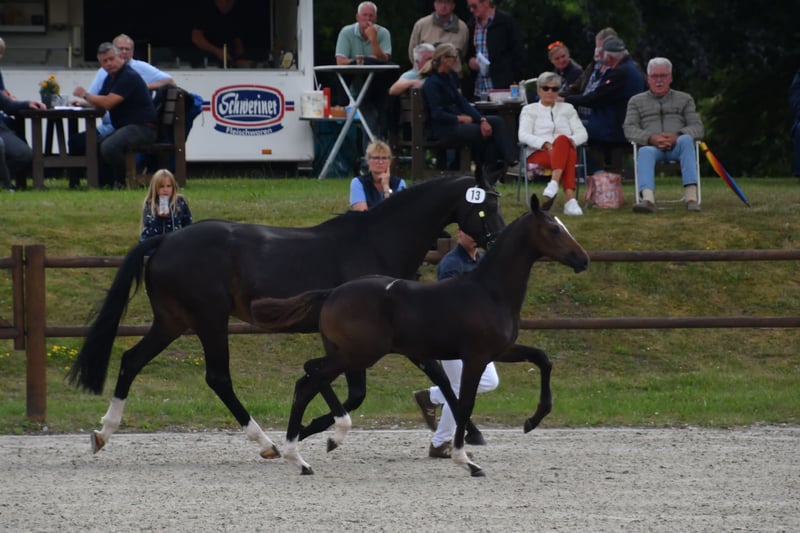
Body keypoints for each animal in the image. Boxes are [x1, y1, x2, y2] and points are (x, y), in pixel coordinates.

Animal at [67, 175, 505, 459]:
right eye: (485, 207)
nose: (497, 241)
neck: (376, 243)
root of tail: (165, 239)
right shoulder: (354, 341)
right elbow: (350, 392)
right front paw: (321, 433)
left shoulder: (397, 336)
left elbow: (437, 376)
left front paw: (470, 432)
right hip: (209, 320)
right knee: (217, 378)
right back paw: (267, 444)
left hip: (173, 321)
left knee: (131, 361)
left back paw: (102, 433)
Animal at [249, 194, 589, 477]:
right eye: (554, 230)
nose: (583, 259)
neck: (489, 291)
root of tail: (331, 293)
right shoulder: (476, 357)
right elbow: (464, 403)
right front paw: (466, 461)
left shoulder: (500, 350)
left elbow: (542, 359)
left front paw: (533, 421)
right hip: (359, 354)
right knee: (311, 377)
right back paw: (314, 446)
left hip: (346, 353)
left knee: (307, 380)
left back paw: (304, 454)